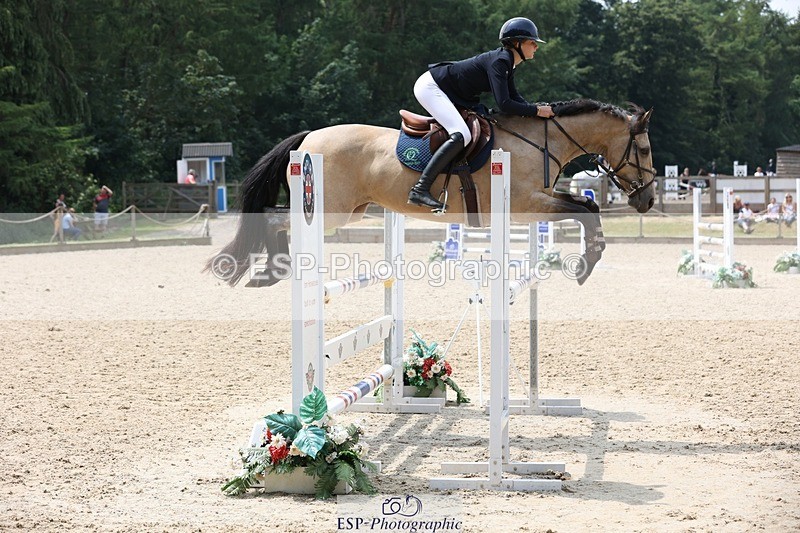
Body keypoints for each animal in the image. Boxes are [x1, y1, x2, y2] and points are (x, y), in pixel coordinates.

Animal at [210, 99, 655, 286]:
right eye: (646, 149)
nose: (647, 200)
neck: (539, 141)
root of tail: (308, 138)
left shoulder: (534, 205)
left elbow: (584, 206)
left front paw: (588, 261)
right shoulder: (527, 206)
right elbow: (584, 208)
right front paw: (586, 265)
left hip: (351, 210)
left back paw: (270, 272)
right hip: (330, 210)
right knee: (273, 218)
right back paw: (271, 271)